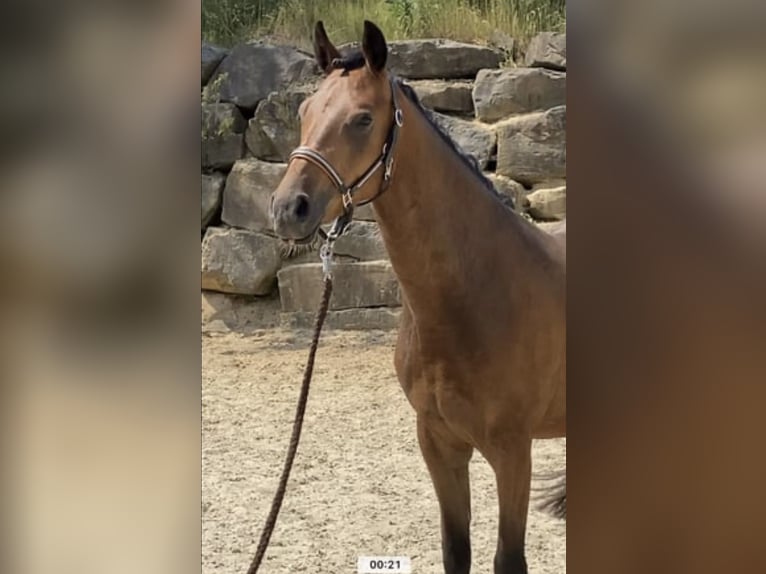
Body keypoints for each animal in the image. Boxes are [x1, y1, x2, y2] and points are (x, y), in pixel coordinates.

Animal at [270, 20, 564, 572]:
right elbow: (455, 549)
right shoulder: (438, 442)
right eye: (304, 112)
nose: (286, 209)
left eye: (363, 119)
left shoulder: (513, 452)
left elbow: (508, 559)